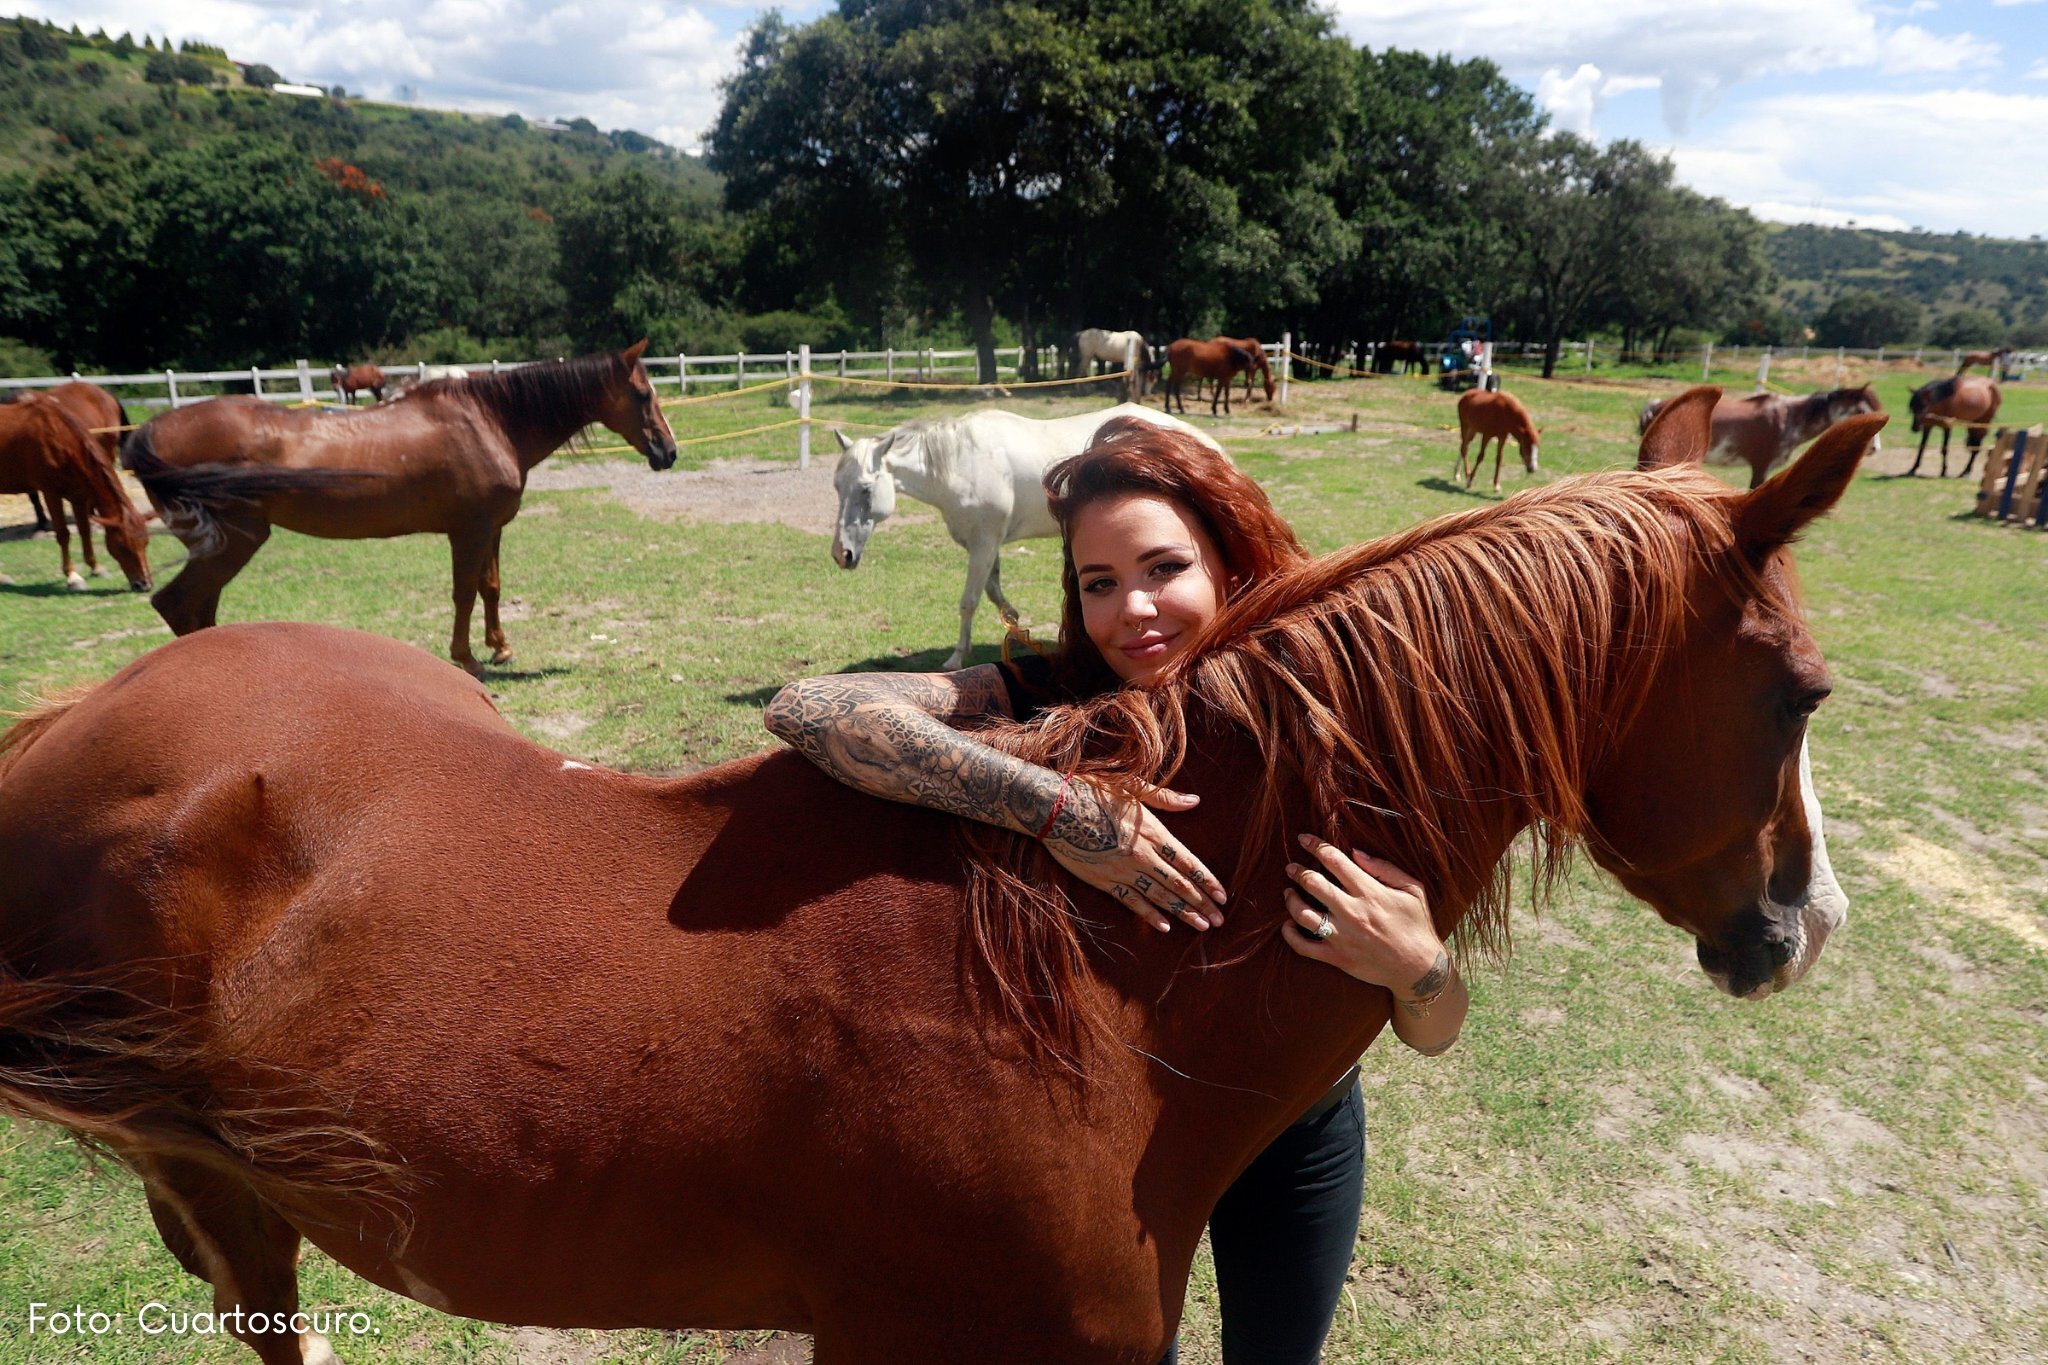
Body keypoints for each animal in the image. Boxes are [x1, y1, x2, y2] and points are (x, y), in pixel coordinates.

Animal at [0, 392, 152, 589]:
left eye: (146, 543)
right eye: (123, 547)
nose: (144, 585)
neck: (57, 435)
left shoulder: (79, 495)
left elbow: (84, 530)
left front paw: (96, 568)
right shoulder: (51, 493)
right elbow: (63, 534)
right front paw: (72, 576)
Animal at [128, 343, 679, 675]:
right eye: (642, 393)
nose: (669, 452)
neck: (488, 421)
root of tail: (148, 431)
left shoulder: (492, 529)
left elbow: (491, 587)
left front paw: (500, 646)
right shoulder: (468, 530)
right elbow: (463, 593)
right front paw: (468, 659)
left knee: (197, 607)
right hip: (232, 543)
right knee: (177, 604)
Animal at [839, 403, 1220, 671]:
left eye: (866, 489)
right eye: (837, 486)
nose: (842, 554)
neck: (960, 464)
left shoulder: (983, 543)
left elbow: (969, 601)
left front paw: (956, 658)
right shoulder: (986, 543)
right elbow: (992, 591)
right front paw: (1015, 623)